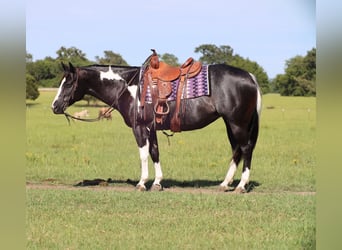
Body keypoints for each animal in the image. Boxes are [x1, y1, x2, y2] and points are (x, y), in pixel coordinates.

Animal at [50, 56, 262, 193]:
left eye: (67, 84)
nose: (55, 106)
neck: (129, 87)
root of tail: (250, 77)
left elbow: (143, 154)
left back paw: (241, 186)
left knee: (246, 149)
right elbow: (155, 153)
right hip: (230, 124)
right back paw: (225, 184)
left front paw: (142, 183)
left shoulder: (139, 128)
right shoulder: (151, 128)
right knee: (236, 150)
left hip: (237, 123)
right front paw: (158, 183)